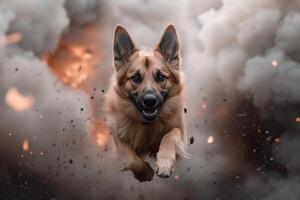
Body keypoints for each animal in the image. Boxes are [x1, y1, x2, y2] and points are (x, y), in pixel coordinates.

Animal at [103, 24, 188, 182]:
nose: (150, 101)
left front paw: (164, 164)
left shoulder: (181, 132)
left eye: (160, 77)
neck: (147, 125)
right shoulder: (117, 135)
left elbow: (170, 135)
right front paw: (145, 173)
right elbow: (132, 159)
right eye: (136, 77)